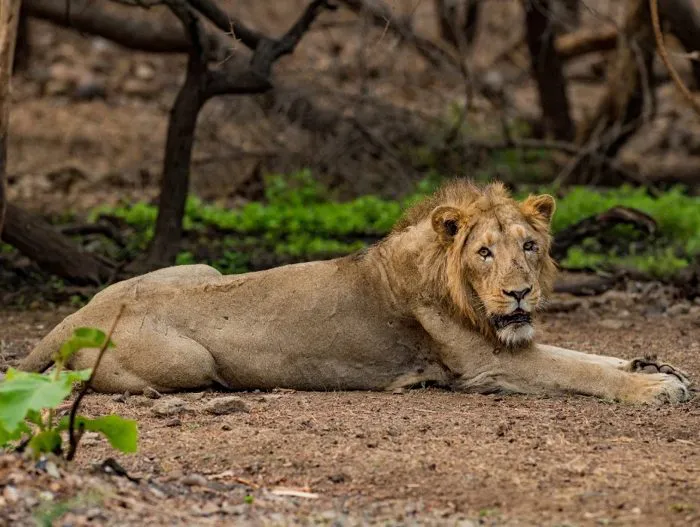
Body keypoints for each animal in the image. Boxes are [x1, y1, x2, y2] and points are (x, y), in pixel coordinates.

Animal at [19, 180, 692, 404]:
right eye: (484, 253)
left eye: (529, 245)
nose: (521, 294)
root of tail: (77, 315)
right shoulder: (485, 366)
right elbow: (580, 371)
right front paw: (653, 388)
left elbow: (589, 355)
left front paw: (656, 366)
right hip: (191, 362)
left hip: (199, 265)